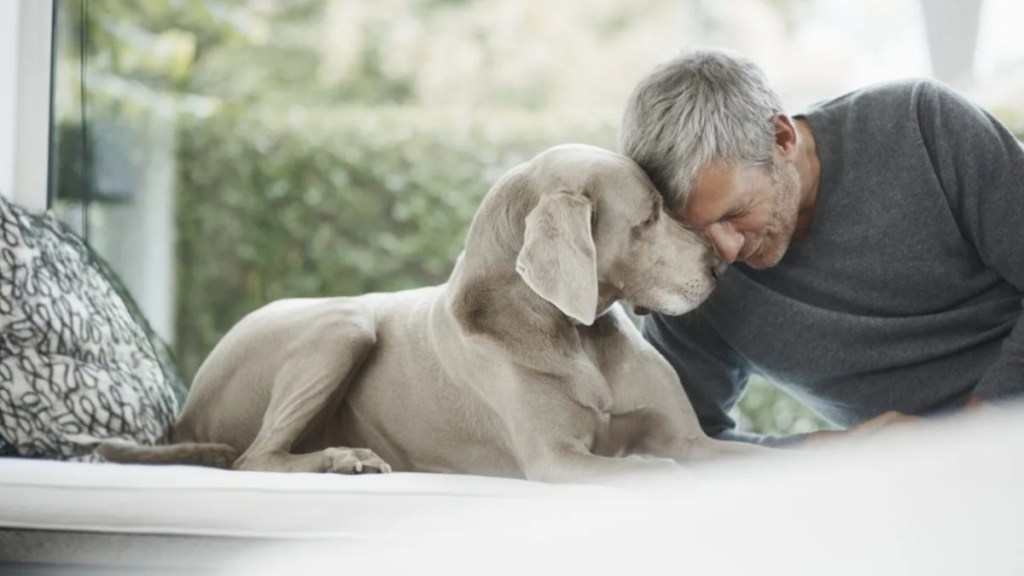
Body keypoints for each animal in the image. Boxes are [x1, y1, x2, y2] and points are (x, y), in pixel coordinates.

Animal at [99, 142, 761, 479]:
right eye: (648, 217)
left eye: (668, 204)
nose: (718, 265)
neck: (574, 335)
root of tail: (187, 419)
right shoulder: (556, 459)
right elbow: (656, 470)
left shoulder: (688, 438)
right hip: (344, 323)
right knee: (253, 458)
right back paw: (344, 459)